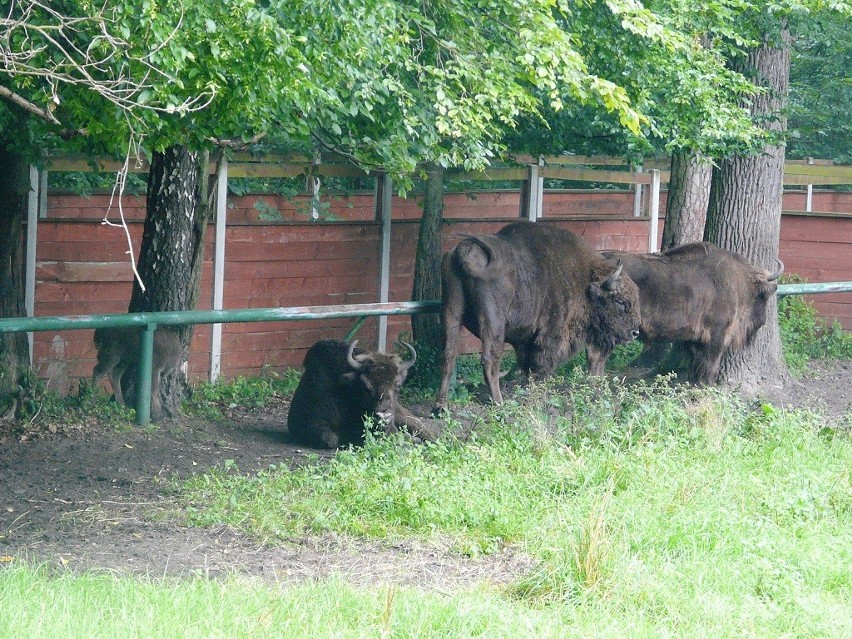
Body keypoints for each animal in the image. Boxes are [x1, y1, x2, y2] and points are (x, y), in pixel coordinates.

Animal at [432, 221, 640, 416]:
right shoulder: (549, 336)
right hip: (494, 323)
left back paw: (440, 407)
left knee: (448, 355)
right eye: (620, 302)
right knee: (490, 359)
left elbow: (528, 367)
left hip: (451, 312)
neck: (585, 281)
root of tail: (463, 251)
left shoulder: (526, 341)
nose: (635, 332)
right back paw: (499, 404)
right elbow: (540, 367)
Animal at [592, 239, 784, 380]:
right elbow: (710, 366)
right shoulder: (717, 335)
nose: (762, 321)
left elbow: (697, 364)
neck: (739, 281)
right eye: (764, 295)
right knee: (598, 358)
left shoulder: (694, 338)